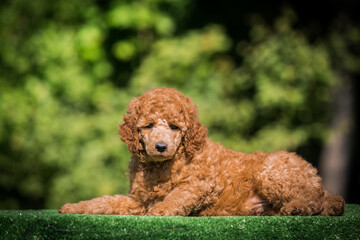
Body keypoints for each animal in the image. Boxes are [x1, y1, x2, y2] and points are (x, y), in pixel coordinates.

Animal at [59, 87, 346, 217]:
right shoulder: (136, 200)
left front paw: (161, 211)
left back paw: (298, 208)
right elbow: (105, 201)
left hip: (272, 170)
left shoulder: (201, 183)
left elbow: (176, 196)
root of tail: (317, 179)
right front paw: (75, 207)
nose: (160, 147)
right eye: (148, 126)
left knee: (312, 199)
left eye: (174, 127)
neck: (164, 165)